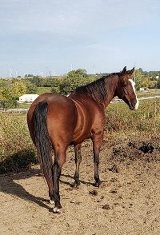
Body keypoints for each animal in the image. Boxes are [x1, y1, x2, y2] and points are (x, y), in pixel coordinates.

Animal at [26, 66, 139, 213]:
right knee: (55, 169)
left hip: (41, 146)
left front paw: (76, 181)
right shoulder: (97, 135)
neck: (94, 99)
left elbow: (78, 159)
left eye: (134, 84)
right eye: (125, 83)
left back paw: (51, 197)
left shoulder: (78, 141)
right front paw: (97, 181)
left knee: (46, 167)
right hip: (60, 148)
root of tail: (44, 102)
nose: (135, 104)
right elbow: (96, 158)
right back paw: (57, 203)